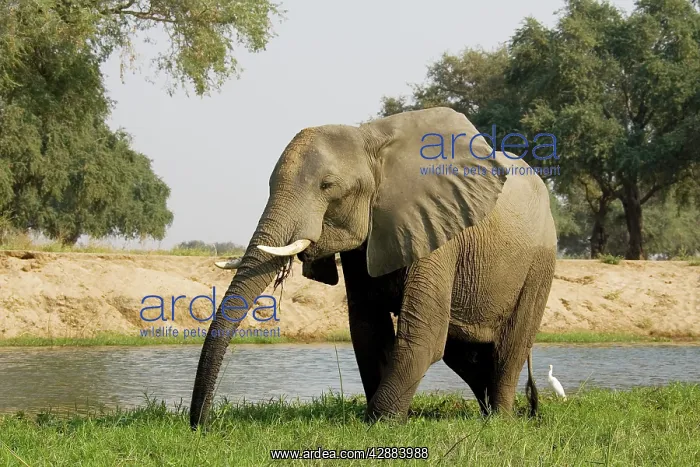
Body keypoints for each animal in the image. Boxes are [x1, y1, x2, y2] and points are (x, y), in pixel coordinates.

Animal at [190, 107, 557, 429]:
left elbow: (422, 335)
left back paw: (500, 420)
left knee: (509, 349)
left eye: (327, 186)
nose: (203, 426)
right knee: (465, 353)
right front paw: (385, 419)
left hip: (540, 263)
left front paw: (380, 423)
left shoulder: (437, 231)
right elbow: (368, 329)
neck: (370, 142)